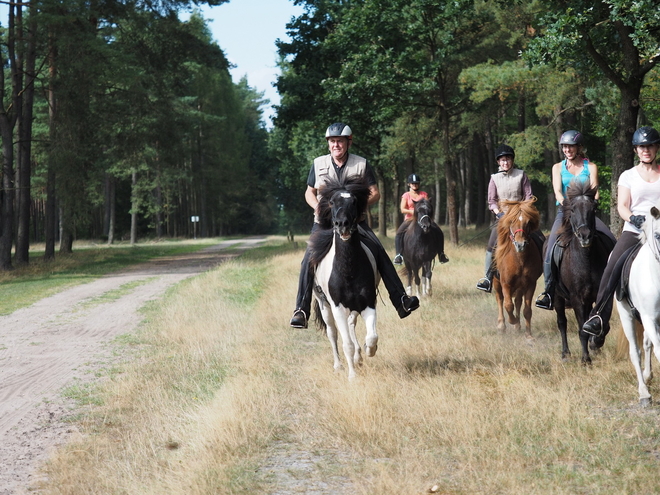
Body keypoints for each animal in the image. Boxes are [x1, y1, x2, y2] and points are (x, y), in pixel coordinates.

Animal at [306, 176, 378, 382]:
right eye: (331, 202)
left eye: (354, 201)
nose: (342, 225)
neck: (348, 270)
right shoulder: (337, 307)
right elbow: (346, 344)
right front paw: (352, 376)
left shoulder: (368, 303)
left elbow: (372, 336)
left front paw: (369, 351)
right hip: (325, 306)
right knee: (333, 333)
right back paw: (338, 365)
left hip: (353, 307)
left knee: (351, 324)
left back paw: (359, 357)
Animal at [496, 198, 540, 338]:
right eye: (511, 221)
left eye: (528, 222)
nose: (521, 245)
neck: (519, 259)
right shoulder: (505, 283)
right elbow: (508, 305)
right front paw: (512, 320)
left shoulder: (530, 284)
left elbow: (527, 310)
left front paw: (528, 334)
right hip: (496, 282)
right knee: (500, 299)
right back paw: (501, 325)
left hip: (520, 286)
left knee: (518, 302)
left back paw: (517, 326)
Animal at [556, 181, 616, 364]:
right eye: (573, 209)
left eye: (593, 208)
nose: (585, 236)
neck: (586, 259)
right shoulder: (577, 298)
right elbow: (582, 329)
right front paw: (585, 359)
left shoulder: (602, 294)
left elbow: (602, 322)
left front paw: (596, 342)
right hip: (557, 297)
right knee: (562, 322)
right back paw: (565, 354)